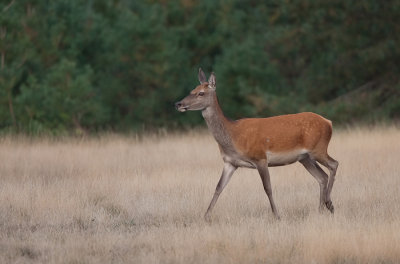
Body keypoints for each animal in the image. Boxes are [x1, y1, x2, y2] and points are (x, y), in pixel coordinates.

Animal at [174, 68, 338, 221]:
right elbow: (219, 187)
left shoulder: (260, 157)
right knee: (322, 177)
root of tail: (329, 122)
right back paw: (320, 210)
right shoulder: (230, 162)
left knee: (334, 164)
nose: (178, 104)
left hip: (318, 148)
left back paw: (329, 203)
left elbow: (268, 188)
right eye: (191, 90)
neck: (233, 135)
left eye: (201, 93)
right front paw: (206, 216)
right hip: (304, 157)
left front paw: (277, 216)